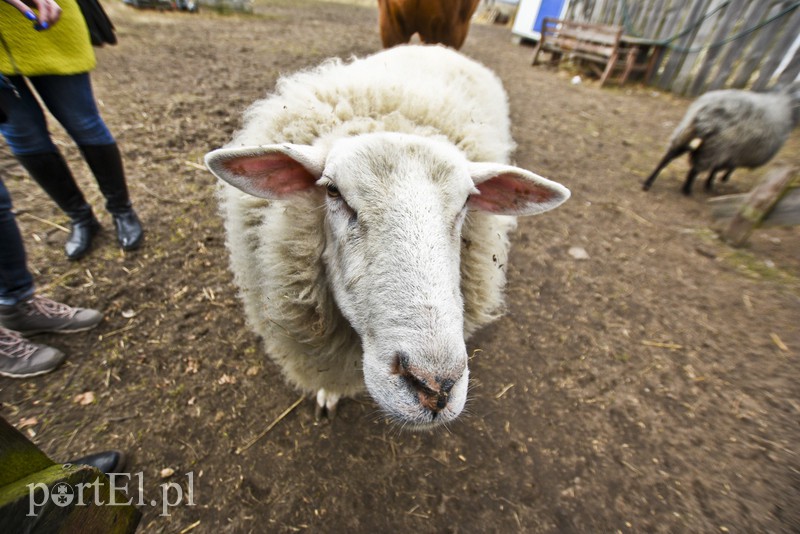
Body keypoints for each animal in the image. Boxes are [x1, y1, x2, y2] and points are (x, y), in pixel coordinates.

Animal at [644, 80, 800, 196]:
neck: (785, 103)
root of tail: (706, 111)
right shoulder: (735, 153)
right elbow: (722, 169)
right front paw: (716, 181)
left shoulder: (734, 153)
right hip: (715, 147)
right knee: (695, 170)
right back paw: (687, 190)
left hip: (685, 132)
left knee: (668, 157)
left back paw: (648, 182)